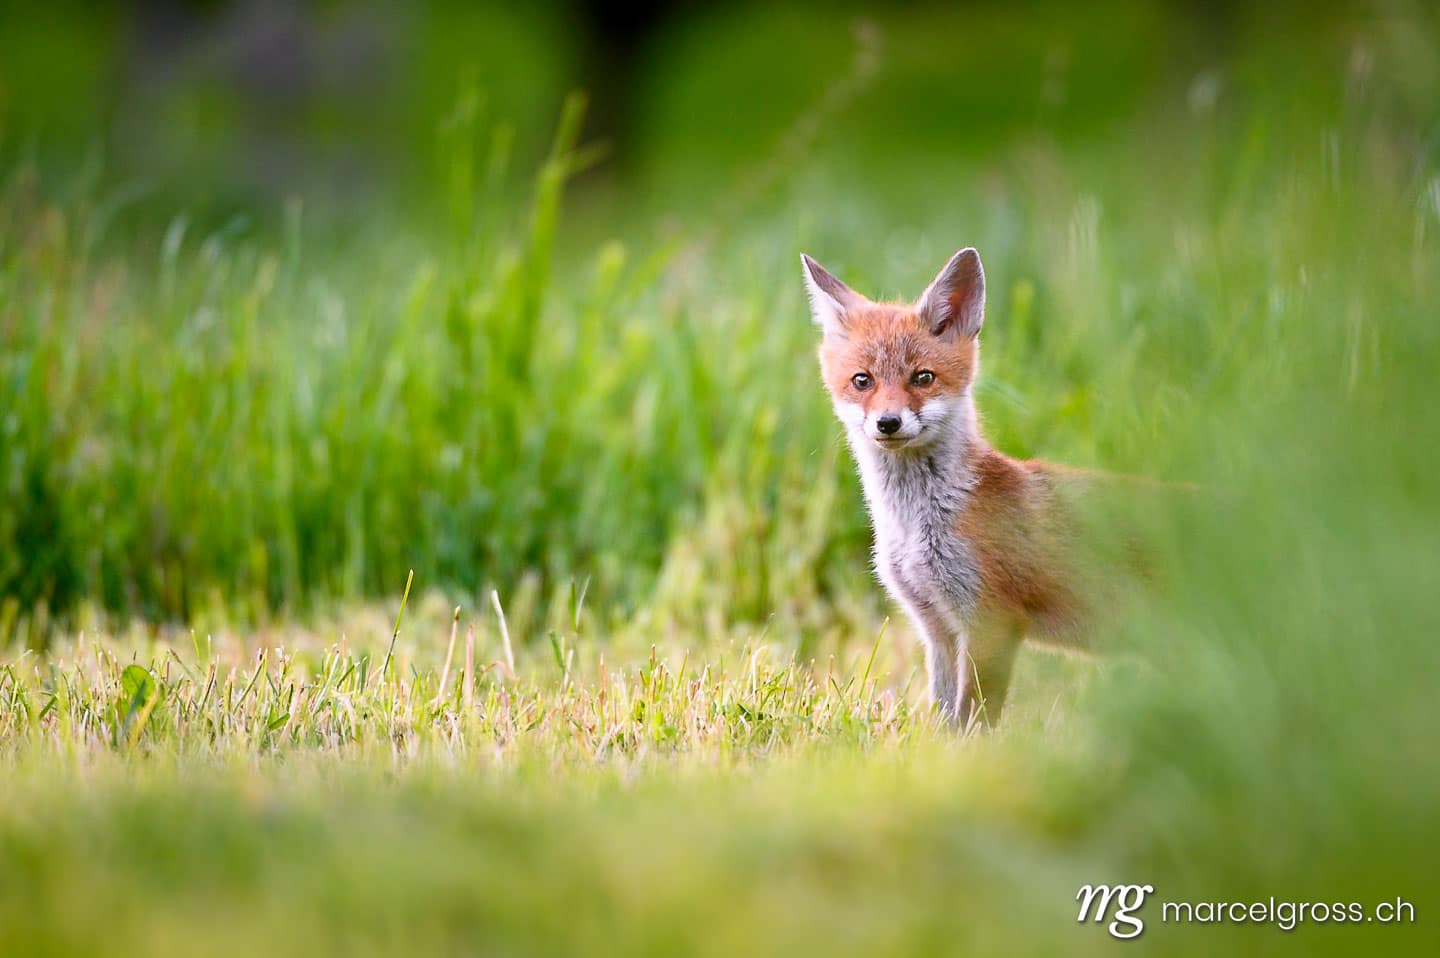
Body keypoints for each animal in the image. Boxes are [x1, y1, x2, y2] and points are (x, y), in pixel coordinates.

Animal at [802, 247, 1087, 730]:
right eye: (863, 380)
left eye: (922, 378)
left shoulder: (992, 622)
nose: (888, 422)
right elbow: (944, 718)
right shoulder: (937, 626)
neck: (915, 528)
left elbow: (975, 721)